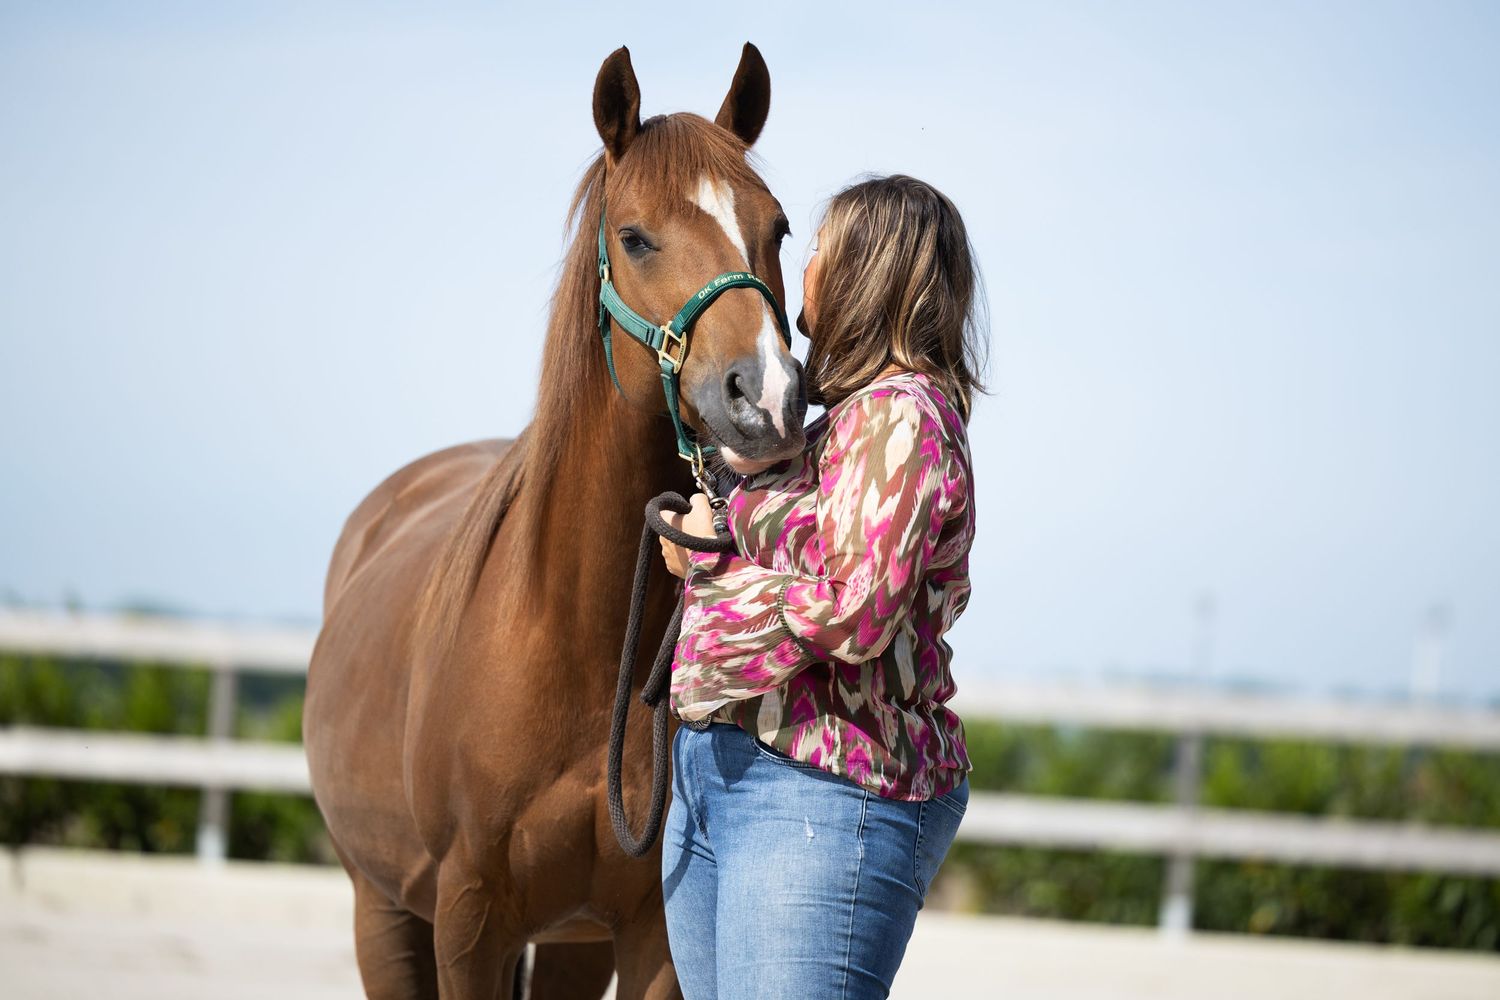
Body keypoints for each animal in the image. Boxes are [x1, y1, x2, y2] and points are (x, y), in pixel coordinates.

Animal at [303, 43, 807, 1000]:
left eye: (780, 228)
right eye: (635, 236)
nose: (764, 396)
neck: (575, 640)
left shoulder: (649, 935)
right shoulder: (470, 923)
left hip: (573, 943)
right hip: (379, 909)